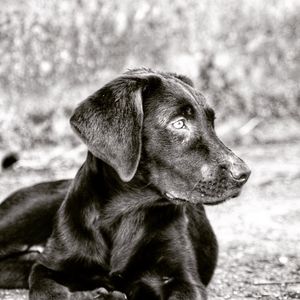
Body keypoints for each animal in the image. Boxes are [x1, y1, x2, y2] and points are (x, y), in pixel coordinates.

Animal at [0, 68, 250, 300]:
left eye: (211, 123)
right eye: (179, 124)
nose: (244, 173)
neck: (125, 214)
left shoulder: (185, 280)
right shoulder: (47, 268)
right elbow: (47, 290)